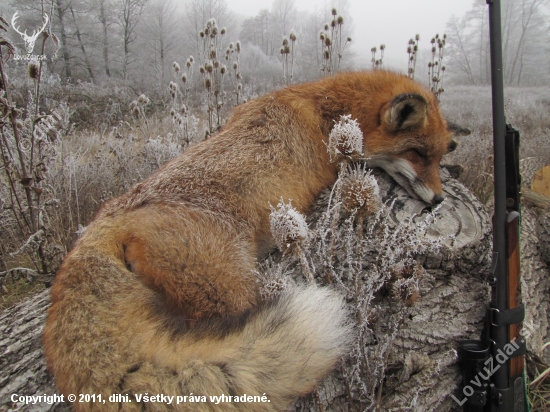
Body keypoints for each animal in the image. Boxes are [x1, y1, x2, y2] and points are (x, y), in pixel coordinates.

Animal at [43, 71, 462, 408]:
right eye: (418, 153)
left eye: (439, 158)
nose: (439, 199)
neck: (326, 110)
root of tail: (100, 224)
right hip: (230, 288)